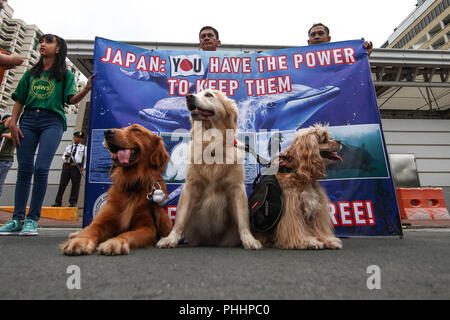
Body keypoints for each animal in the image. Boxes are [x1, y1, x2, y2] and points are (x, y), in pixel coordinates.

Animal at [157, 90, 262, 250]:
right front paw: (171, 238)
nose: (188, 96)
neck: (211, 145)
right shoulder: (191, 186)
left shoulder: (237, 188)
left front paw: (249, 239)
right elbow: (180, 217)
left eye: (209, 95)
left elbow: (243, 219)